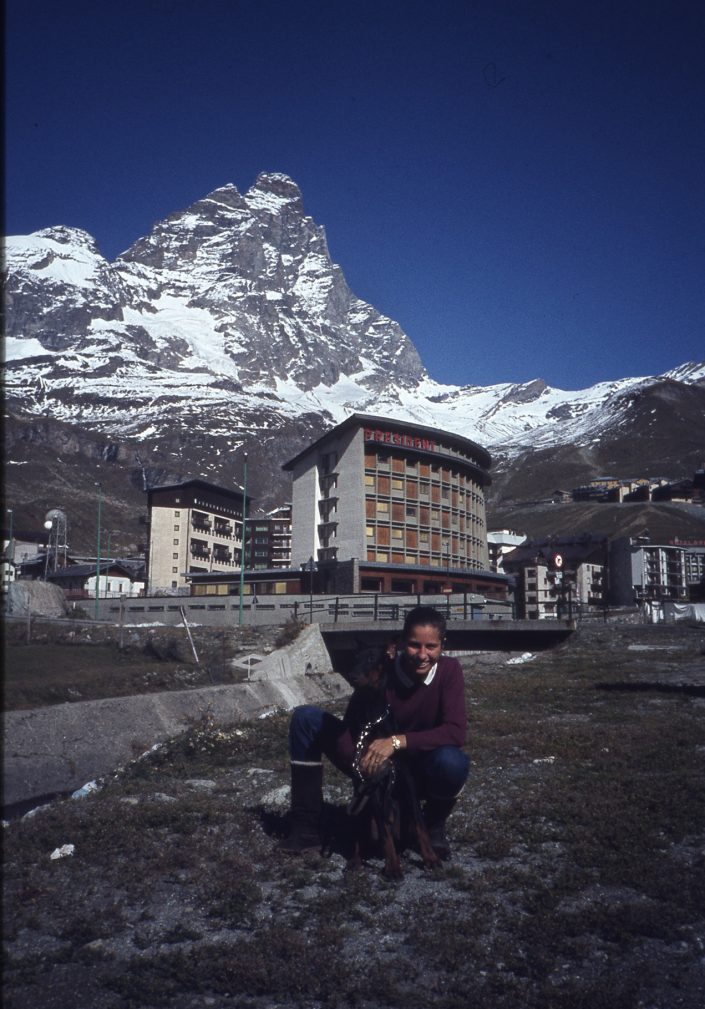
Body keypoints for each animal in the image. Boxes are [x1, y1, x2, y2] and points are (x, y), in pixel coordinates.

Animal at [344, 645, 437, 875]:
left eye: (371, 657)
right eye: (353, 656)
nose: (352, 676)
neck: (372, 715)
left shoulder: (407, 778)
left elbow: (420, 823)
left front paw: (431, 857)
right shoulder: (373, 781)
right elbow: (384, 832)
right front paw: (393, 867)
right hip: (362, 808)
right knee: (362, 837)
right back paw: (355, 860)